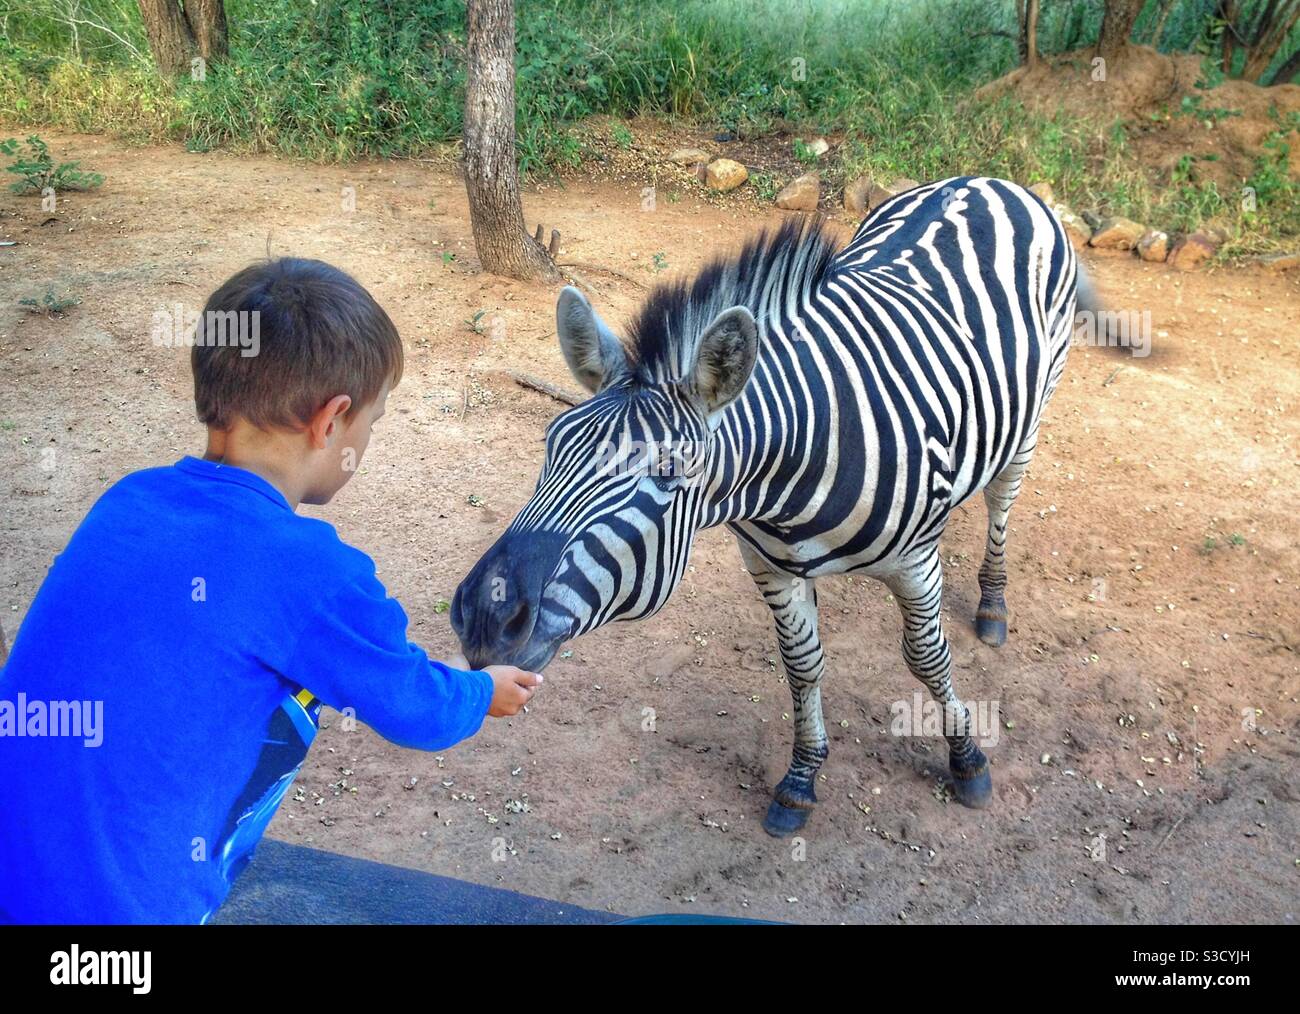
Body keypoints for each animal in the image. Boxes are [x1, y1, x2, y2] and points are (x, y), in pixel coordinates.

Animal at [452, 176, 1078, 836]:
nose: (484, 615)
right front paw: (801, 779)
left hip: (1034, 413)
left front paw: (967, 759)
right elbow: (802, 664)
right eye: (551, 443)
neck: (793, 473)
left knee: (1002, 500)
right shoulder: (770, 566)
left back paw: (992, 603)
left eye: (667, 473)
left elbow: (927, 658)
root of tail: (983, 181)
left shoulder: (914, 561)